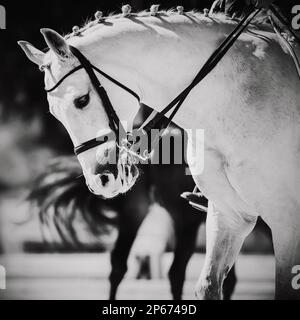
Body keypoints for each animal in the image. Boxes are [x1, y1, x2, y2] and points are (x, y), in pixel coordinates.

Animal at [18, 7, 300, 298]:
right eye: (54, 113)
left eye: (81, 100)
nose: (101, 181)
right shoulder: (229, 215)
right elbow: (209, 285)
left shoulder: (286, 222)